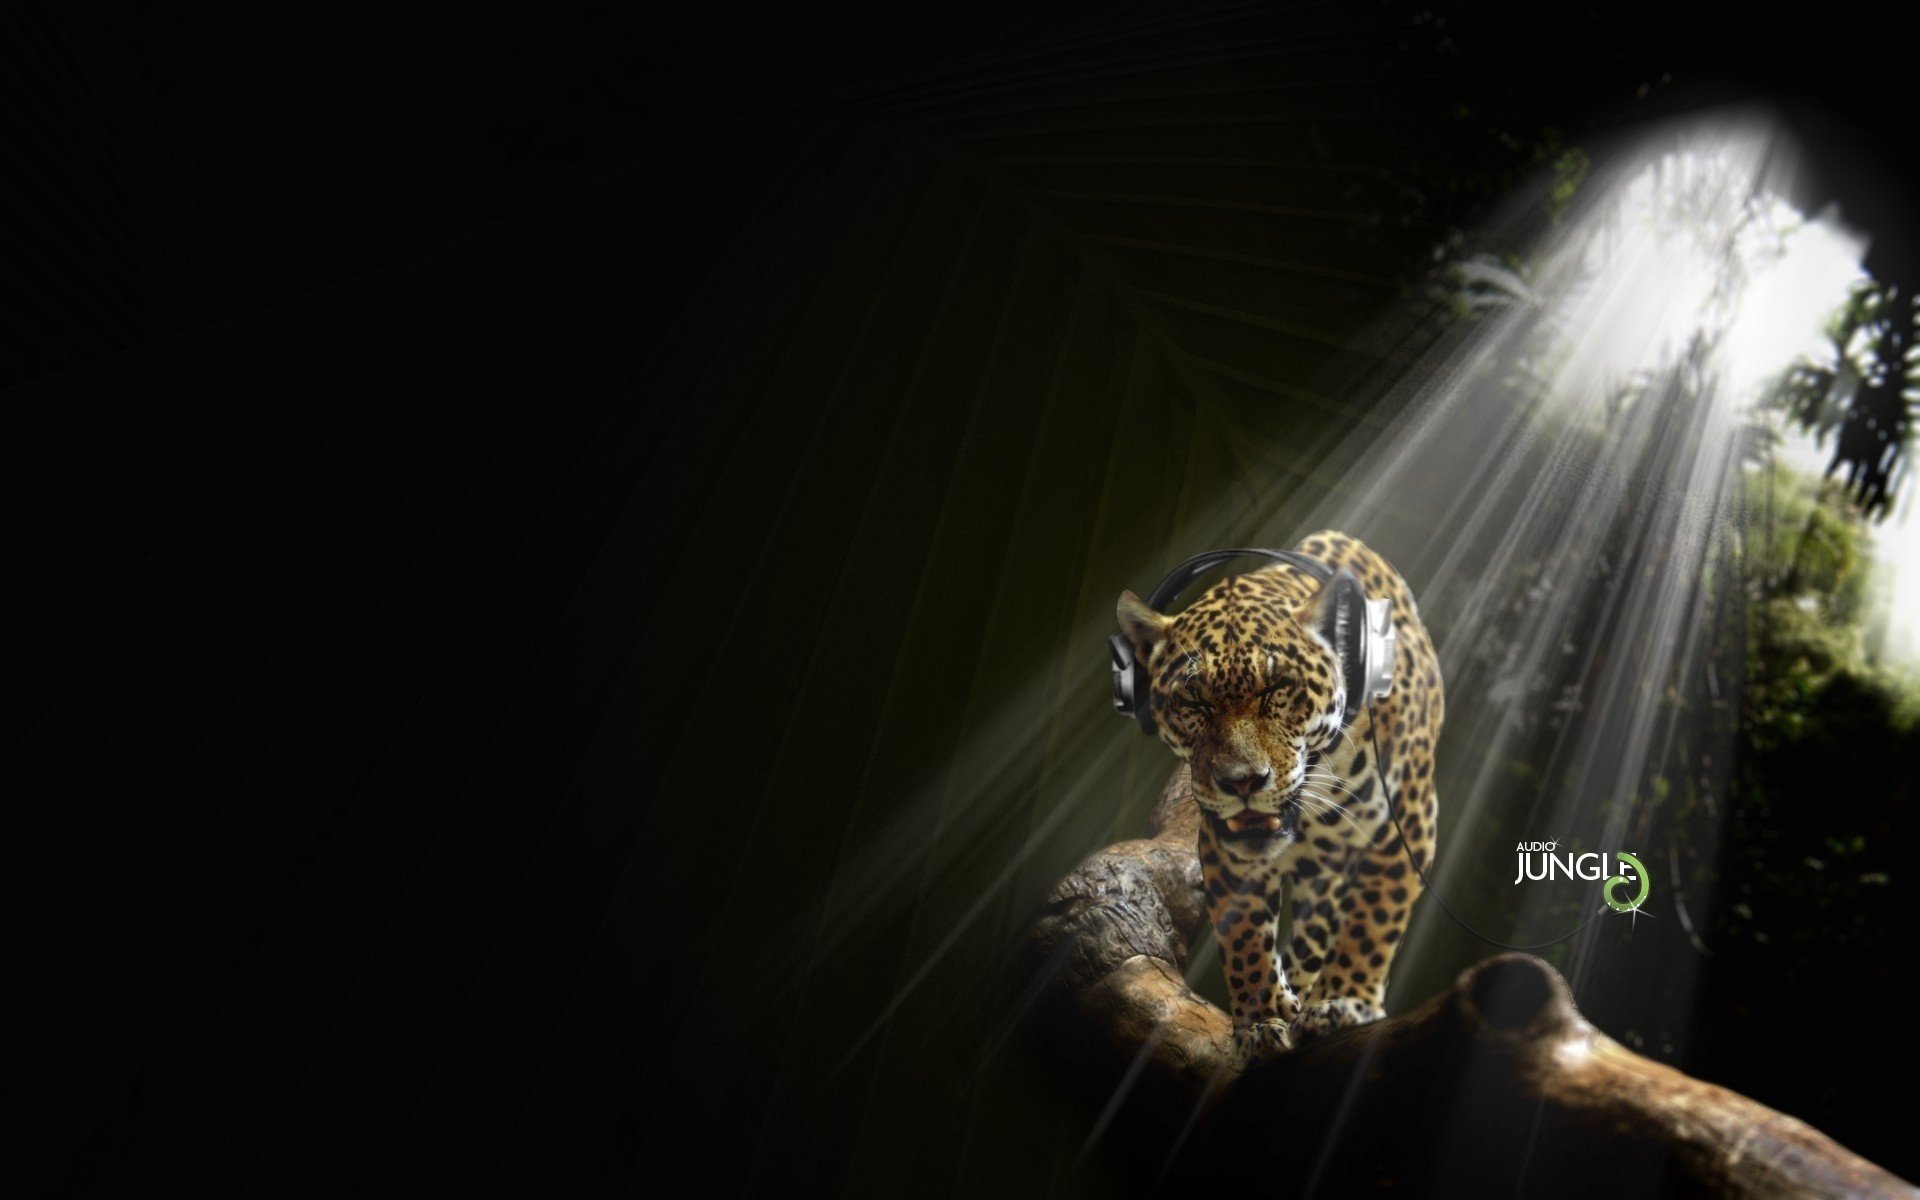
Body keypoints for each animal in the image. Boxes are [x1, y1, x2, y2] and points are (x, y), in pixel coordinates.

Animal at [1114, 530, 1443, 1064]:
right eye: (1193, 700)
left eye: (1279, 688)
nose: (1242, 782)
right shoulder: (1224, 847)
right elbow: (1244, 936)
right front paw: (1261, 1020)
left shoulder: (1409, 822)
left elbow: (1373, 915)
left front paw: (1342, 1001)